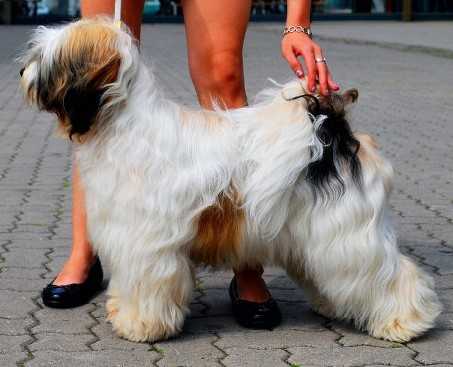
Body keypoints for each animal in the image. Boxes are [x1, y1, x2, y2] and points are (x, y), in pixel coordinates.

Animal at [19, 18, 440, 344]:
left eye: (47, 57)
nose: (22, 71)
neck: (124, 122)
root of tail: (331, 134)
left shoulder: (147, 243)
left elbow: (147, 284)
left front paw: (141, 325)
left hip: (346, 231)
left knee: (391, 273)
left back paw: (406, 322)